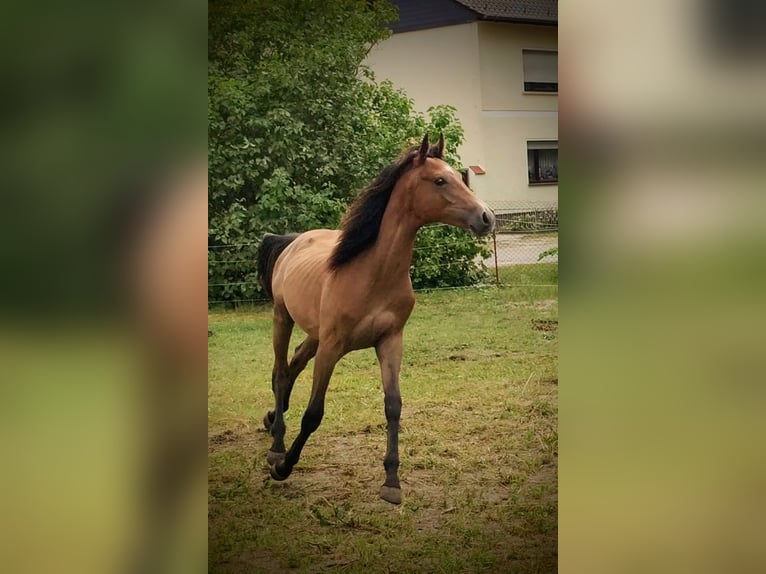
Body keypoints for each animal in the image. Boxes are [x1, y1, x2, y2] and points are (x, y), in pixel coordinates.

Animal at [258, 134, 498, 504]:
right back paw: (276, 447)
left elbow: (393, 406)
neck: (371, 275)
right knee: (281, 374)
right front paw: (284, 468)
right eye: (439, 181)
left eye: (460, 177)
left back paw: (272, 420)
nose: (486, 217)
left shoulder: (390, 342)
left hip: (314, 334)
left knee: (293, 367)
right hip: (283, 319)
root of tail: (293, 241)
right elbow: (313, 413)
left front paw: (392, 482)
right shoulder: (332, 348)